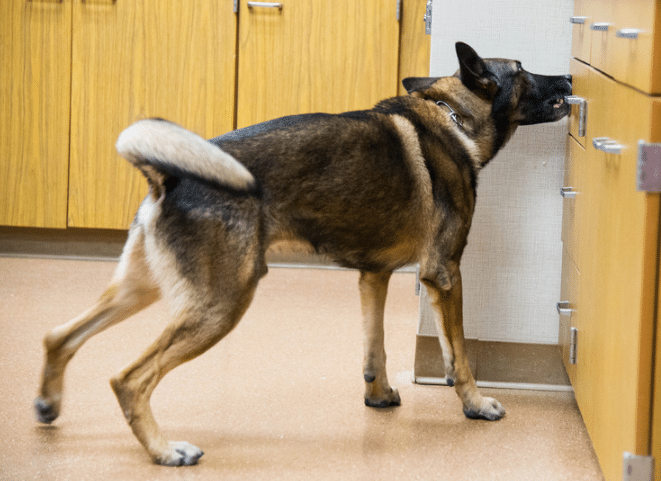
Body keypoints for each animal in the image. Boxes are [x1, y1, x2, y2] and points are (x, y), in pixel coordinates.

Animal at [33, 43, 568, 464]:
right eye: (522, 69)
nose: (567, 76)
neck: (453, 119)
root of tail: (169, 175)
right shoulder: (444, 274)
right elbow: (458, 355)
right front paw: (475, 404)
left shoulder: (374, 276)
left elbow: (374, 347)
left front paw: (378, 395)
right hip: (220, 305)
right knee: (129, 379)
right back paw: (165, 450)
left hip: (142, 289)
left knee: (60, 335)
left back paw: (47, 404)